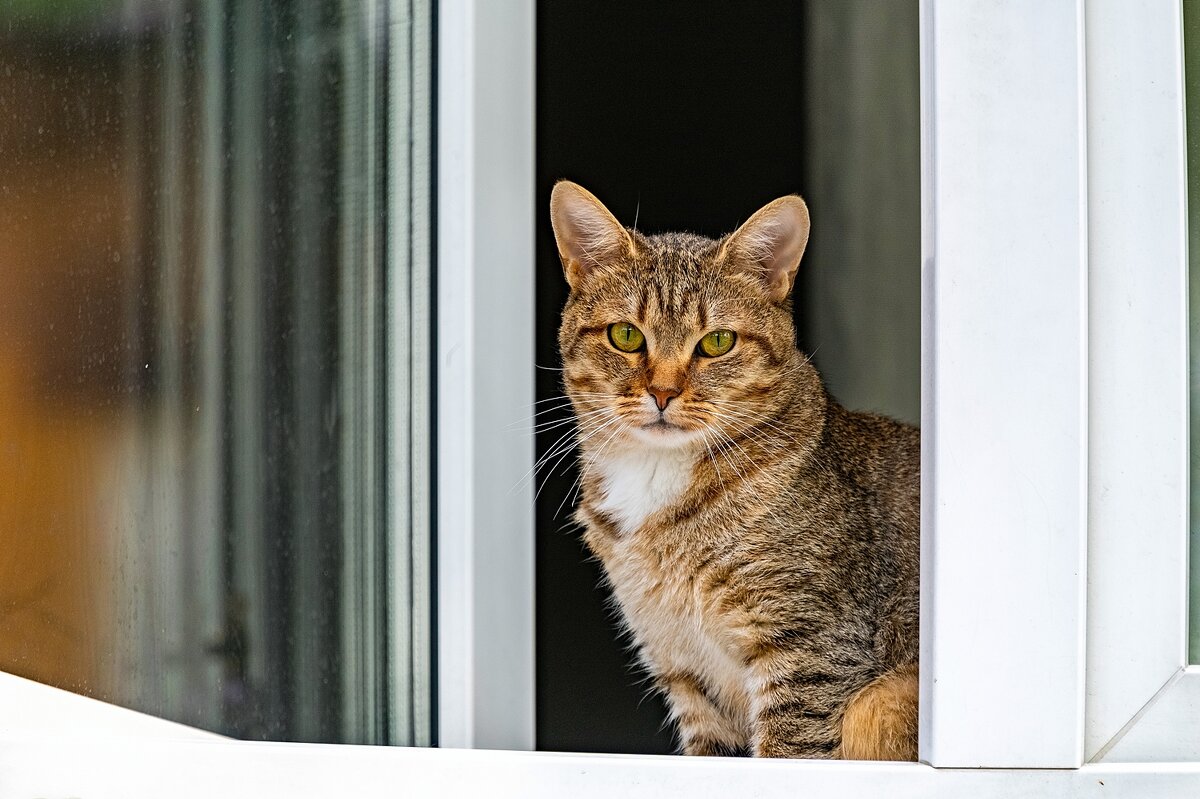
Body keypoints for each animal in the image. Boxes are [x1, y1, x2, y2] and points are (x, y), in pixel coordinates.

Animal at [549, 179, 916, 758]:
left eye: (717, 342)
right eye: (626, 335)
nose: (662, 392)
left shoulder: (811, 650)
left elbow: (788, 750)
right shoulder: (684, 669)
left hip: (879, 703)